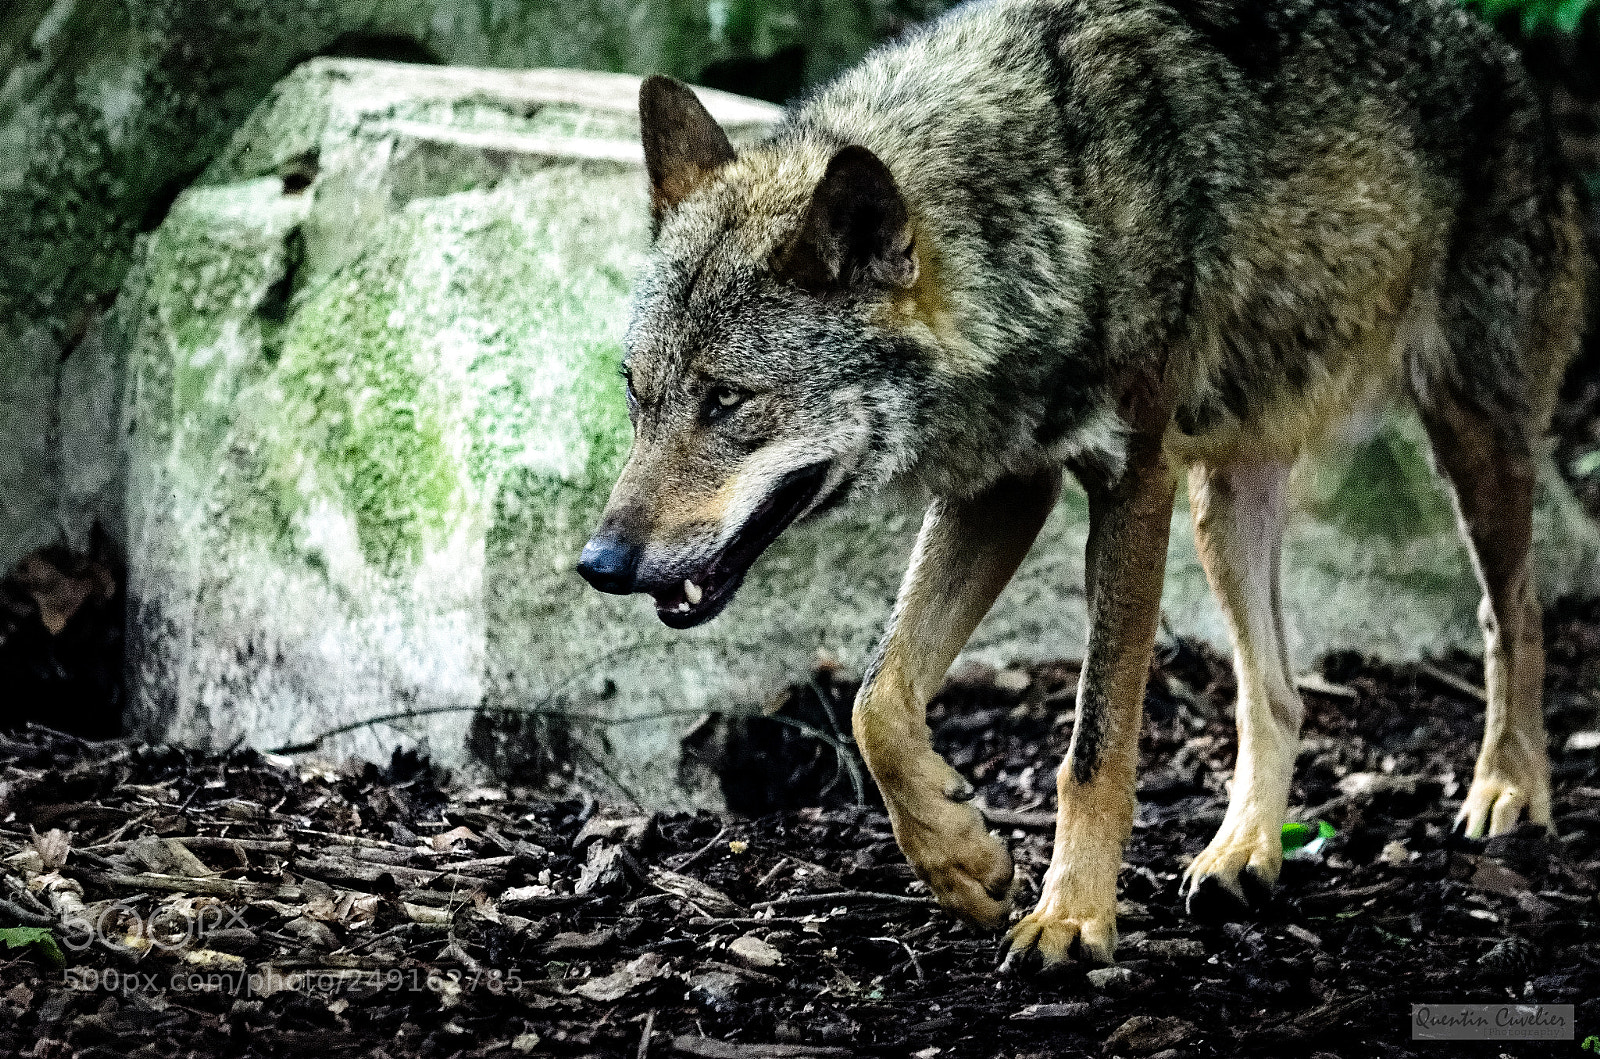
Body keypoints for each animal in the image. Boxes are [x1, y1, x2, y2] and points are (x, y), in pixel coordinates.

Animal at [576, 0, 1589, 969]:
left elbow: (1092, 750)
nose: (599, 563)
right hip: (1225, 506)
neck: (1052, 203)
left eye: (727, 400)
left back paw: (1510, 786)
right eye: (636, 391)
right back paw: (1244, 853)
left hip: (1471, 441)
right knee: (1276, 694)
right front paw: (962, 858)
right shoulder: (1006, 485)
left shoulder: (1132, 480)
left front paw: (1070, 919)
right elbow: (877, 703)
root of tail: (1498, 51)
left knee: (1514, 613)